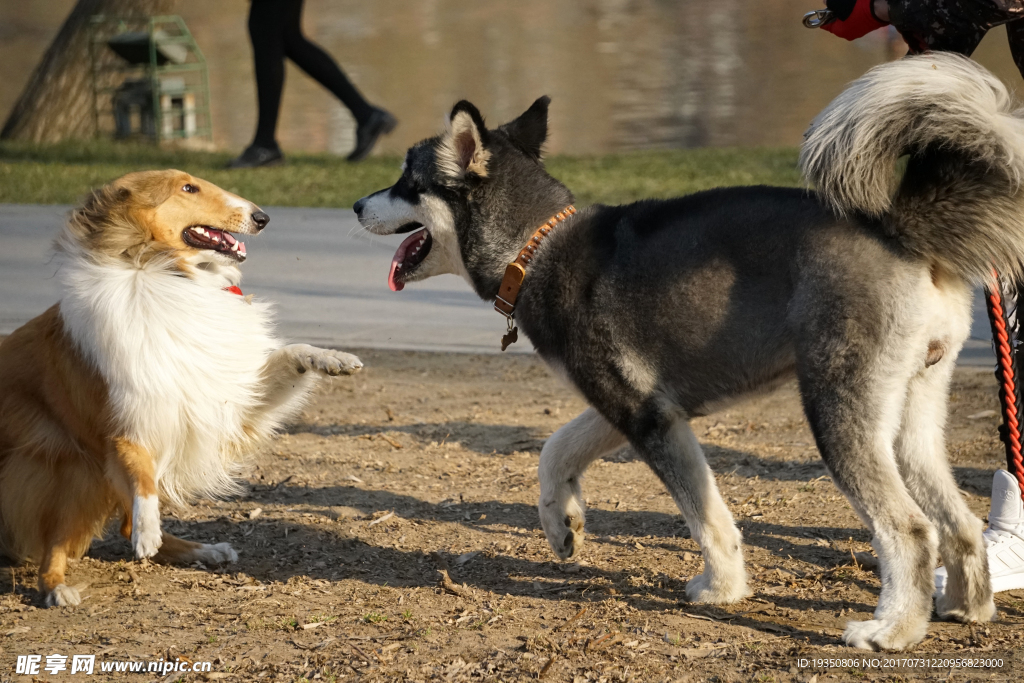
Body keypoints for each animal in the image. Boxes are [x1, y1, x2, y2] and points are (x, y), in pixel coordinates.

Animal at [0, 169, 360, 602]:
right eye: (188, 188)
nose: (262, 217)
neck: (160, 270)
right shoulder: (127, 419)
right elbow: (142, 479)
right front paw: (147, 530)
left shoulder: (226, 396)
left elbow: (292, 354)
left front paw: (331, 358)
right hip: (68, 463)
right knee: (57, 538)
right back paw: (57, 587)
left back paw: (203, 549)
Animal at [354, 54, 1024, 651]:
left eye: (407, 183)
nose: (357, 205)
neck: (536, 246)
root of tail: (897, 227)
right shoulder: (634, 405)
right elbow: (554, 450)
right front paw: (561, 525)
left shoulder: (648, 418)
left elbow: (706, 514)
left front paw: (722, 588)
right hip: (911, 421)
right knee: (959, 522)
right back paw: (965, 606)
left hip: (840, 415)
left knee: (910, 530)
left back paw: (892, 630)